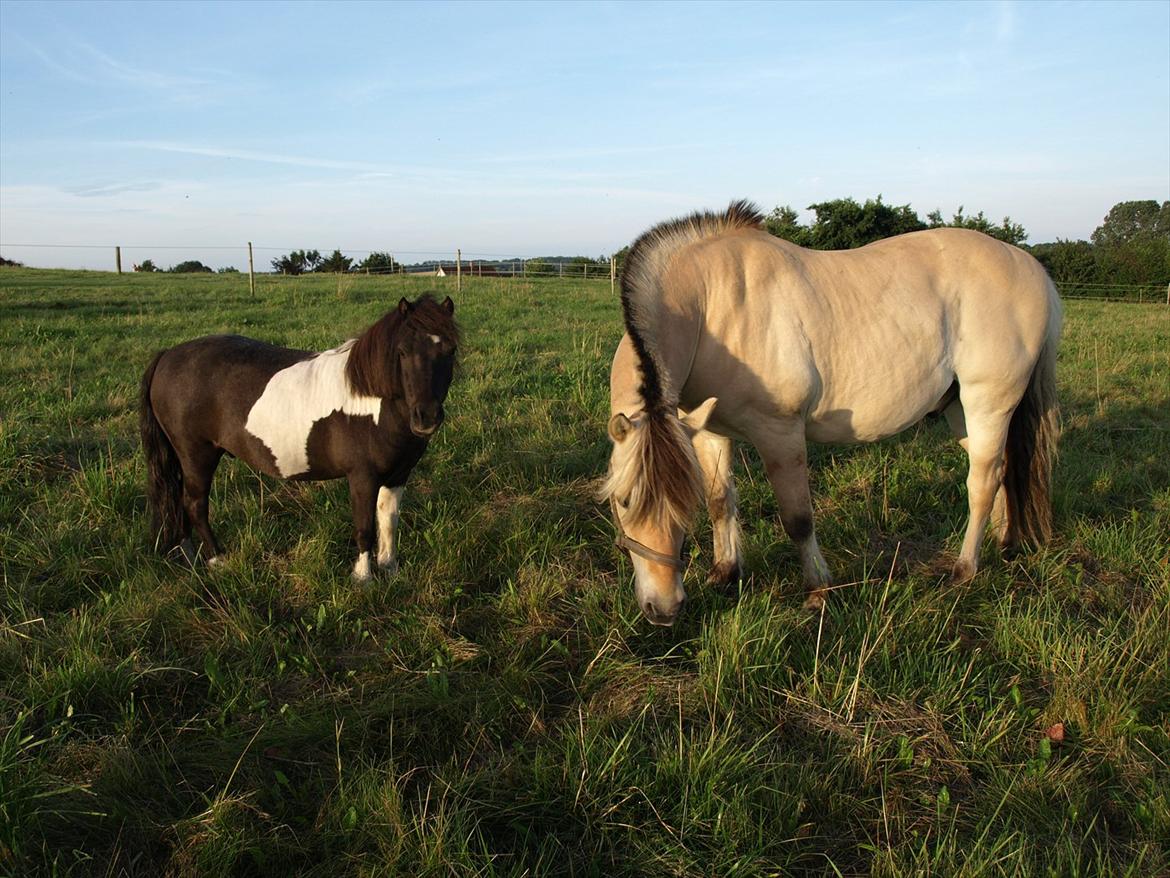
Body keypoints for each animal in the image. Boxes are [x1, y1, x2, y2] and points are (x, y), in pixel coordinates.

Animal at [139, 294, 459, 580]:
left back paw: (190, 558)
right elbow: (364, 528)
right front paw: (363, 578)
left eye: (450, 351)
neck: (371, 398)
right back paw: (217, 559)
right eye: (402, 352)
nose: (426, 417)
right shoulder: (362, 477)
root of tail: (166, 356)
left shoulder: (398, 475)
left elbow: (388, 521)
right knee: (195, 504)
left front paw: (390, 570)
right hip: (196, 455)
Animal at [602, 201, 1061, 626]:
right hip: (960, 412)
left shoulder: (780, 433)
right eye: (623, 502)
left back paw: (965, 569)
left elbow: (798, 520)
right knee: (999, 471)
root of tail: (1033, 268)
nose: (664, 609)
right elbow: (721, 501)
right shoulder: (709, 431)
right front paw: (725, 573)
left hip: (989, 406)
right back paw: (1003, 542)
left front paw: (818, 592)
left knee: (980, 483)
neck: (712, 306)